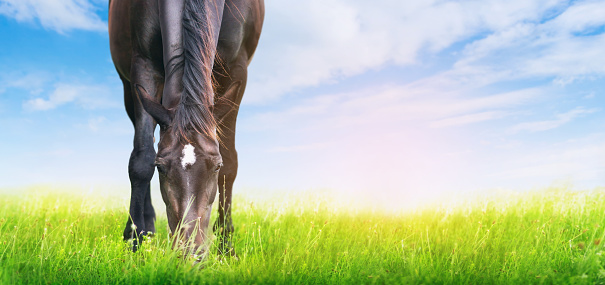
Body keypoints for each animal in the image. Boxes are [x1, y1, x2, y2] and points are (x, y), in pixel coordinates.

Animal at [108, 0, 262, 255]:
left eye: (216, 166)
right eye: (160, 168)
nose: (190, 251)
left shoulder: (237, 70)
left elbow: (231, 163)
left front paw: (226, 246)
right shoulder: (143, 65)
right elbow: (141, 160)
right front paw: (134, 240)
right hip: (129, 89)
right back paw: (147, 227)